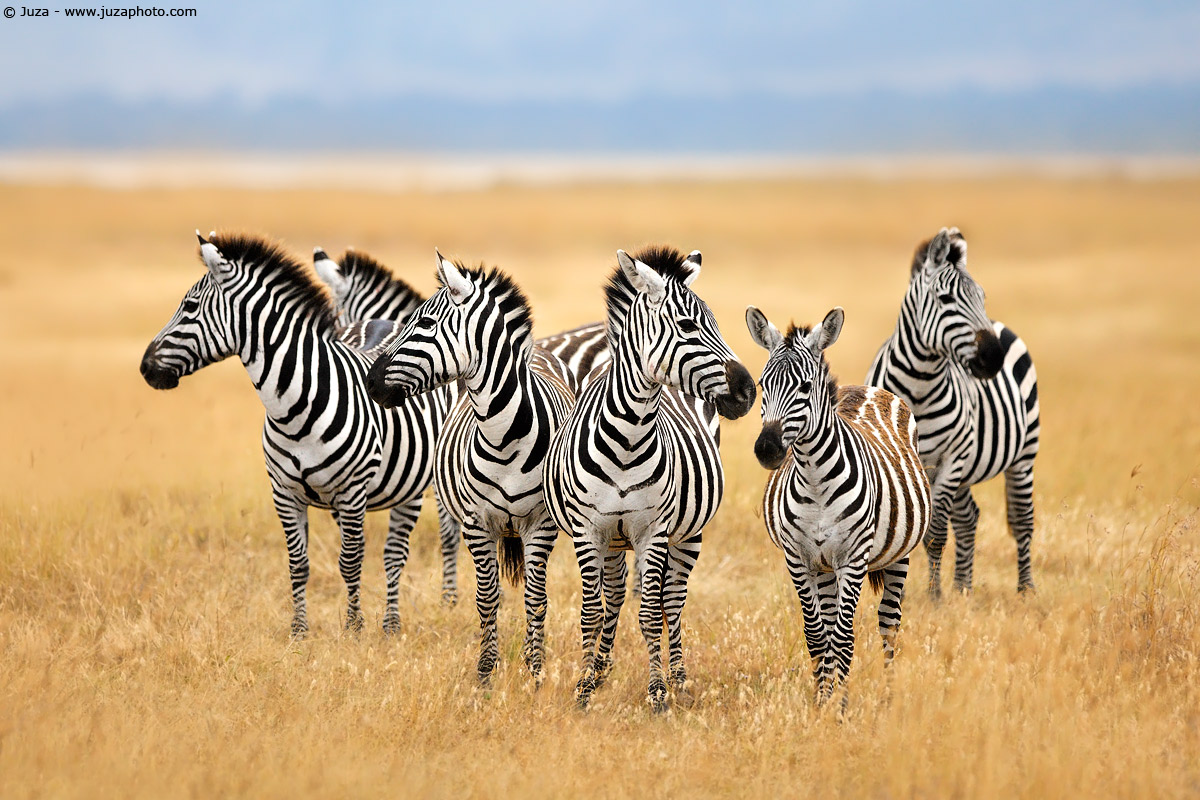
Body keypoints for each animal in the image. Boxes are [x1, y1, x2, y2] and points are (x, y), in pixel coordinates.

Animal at [140, 232, 453, 636]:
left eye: (190, 306)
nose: (145, 367)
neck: (294, 408)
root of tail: (384, 321)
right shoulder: (285, 493)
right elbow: (299, 564)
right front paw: (300, 632)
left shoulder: (352, 491)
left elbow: (351, 561)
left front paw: (354, 630)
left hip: (410, 487)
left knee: (394, 555)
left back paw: (391, 624)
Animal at [365, 251, 575, 686]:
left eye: (426, 323)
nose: (371, 383)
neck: (505, 434)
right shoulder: (476, 524)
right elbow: (486, 597)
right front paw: (485, 674)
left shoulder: (541, 525)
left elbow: (536, 597)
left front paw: (535, 673)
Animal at [543, 246, 756, 713]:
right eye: (688, 325)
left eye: (716, 322)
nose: (748, 392)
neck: (629, 435)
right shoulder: (588, 530)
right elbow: (592, 610)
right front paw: (583, 687)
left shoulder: (654, 530)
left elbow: (649, 614)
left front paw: (658, 692)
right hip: (612, 540)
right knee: (615, 594)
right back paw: (601, 670)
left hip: (688, 534)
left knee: (671, 601)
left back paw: (679, 679)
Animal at [747, 305, 931, 706]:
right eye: (762, 385)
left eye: (804, 387)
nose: (766, 449)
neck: (815, 480)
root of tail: (867, 387)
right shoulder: (798, 558)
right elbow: (818, 635)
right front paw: (823, 702)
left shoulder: (854, 557)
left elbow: (844, 637)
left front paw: (841, 709)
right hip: (824, 565)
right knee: (829, 625)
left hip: (899, 554)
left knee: (889, 623)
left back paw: (889, 697)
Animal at [866, 227, 1040, 598]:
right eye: (945, 299)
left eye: (983, 297)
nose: (993, 357)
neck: (918, 387)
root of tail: (999, 325)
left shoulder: (951, 459)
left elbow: (934, 535)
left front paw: (934, 597)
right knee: (968, 518)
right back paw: (963, 588)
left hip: (1022, 455)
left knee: (1022, 520)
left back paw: (1025, 589)